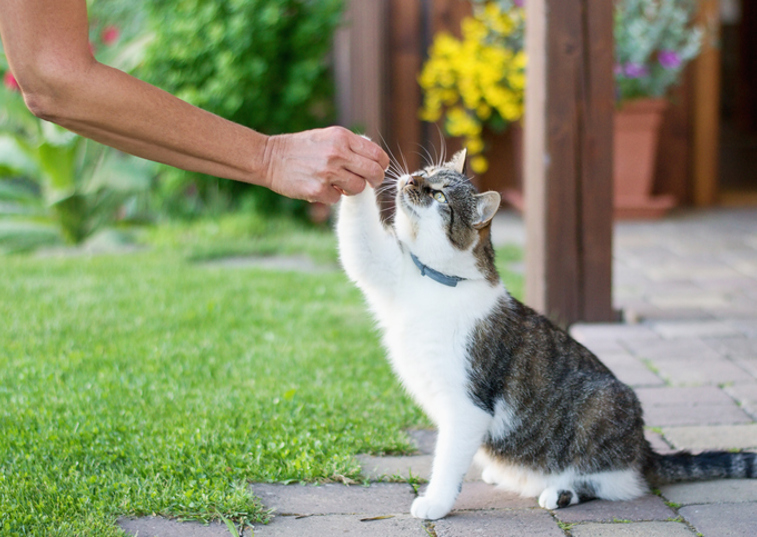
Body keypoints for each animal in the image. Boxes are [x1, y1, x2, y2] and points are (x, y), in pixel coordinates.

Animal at [336, 147, 756, 520]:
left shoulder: (468, 405)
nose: (410, 179)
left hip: (604, 406)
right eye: (424, 172)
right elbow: (360, 245)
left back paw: (560, 492)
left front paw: (435, 503)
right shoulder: (384, 268)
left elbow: (447, 463)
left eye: (439, 195)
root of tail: (644, 449)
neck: (436, 282)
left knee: (614, 484)